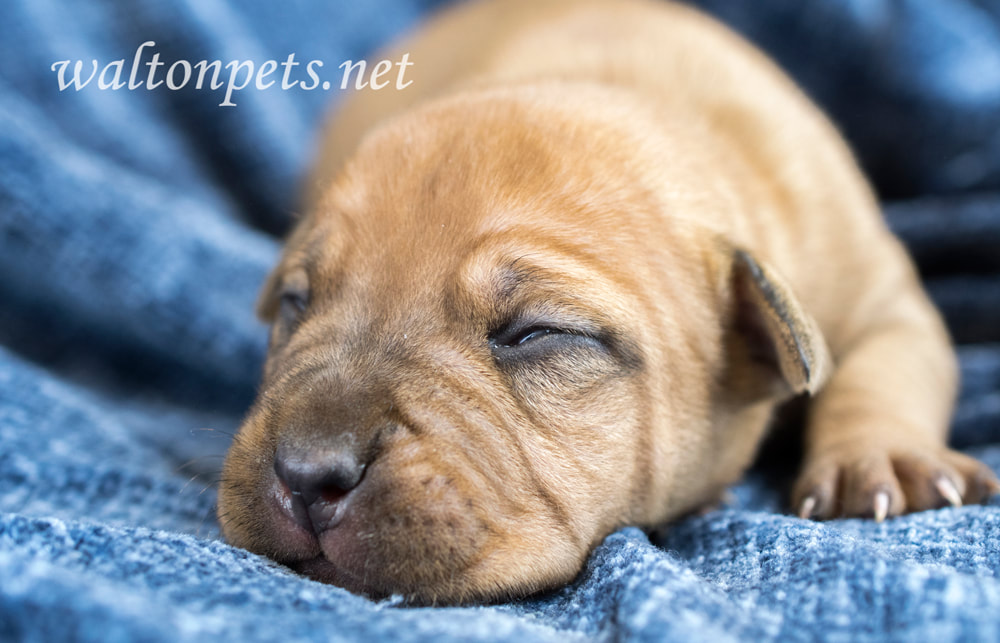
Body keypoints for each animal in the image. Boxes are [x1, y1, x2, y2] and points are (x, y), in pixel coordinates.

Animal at [215, 0, 996, 604]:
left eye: (536, 333)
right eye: (296, 302)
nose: (306, 474)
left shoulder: (876, 294)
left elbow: (886, 364)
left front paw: (884, 458)